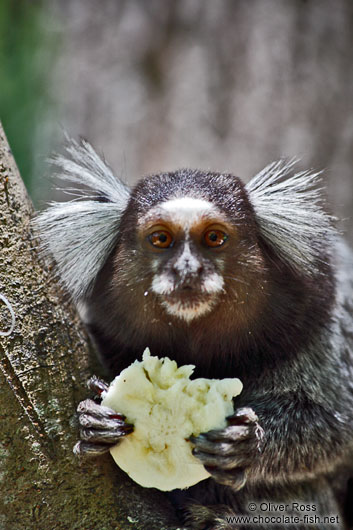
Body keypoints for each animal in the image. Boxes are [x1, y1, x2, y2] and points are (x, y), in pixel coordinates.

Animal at [36, 138, 352, 524]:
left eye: (214, 238)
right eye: (160, 239)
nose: (187, 269)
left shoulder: (313, 318)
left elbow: (334, 428)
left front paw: (247, 443)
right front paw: (93, 420)